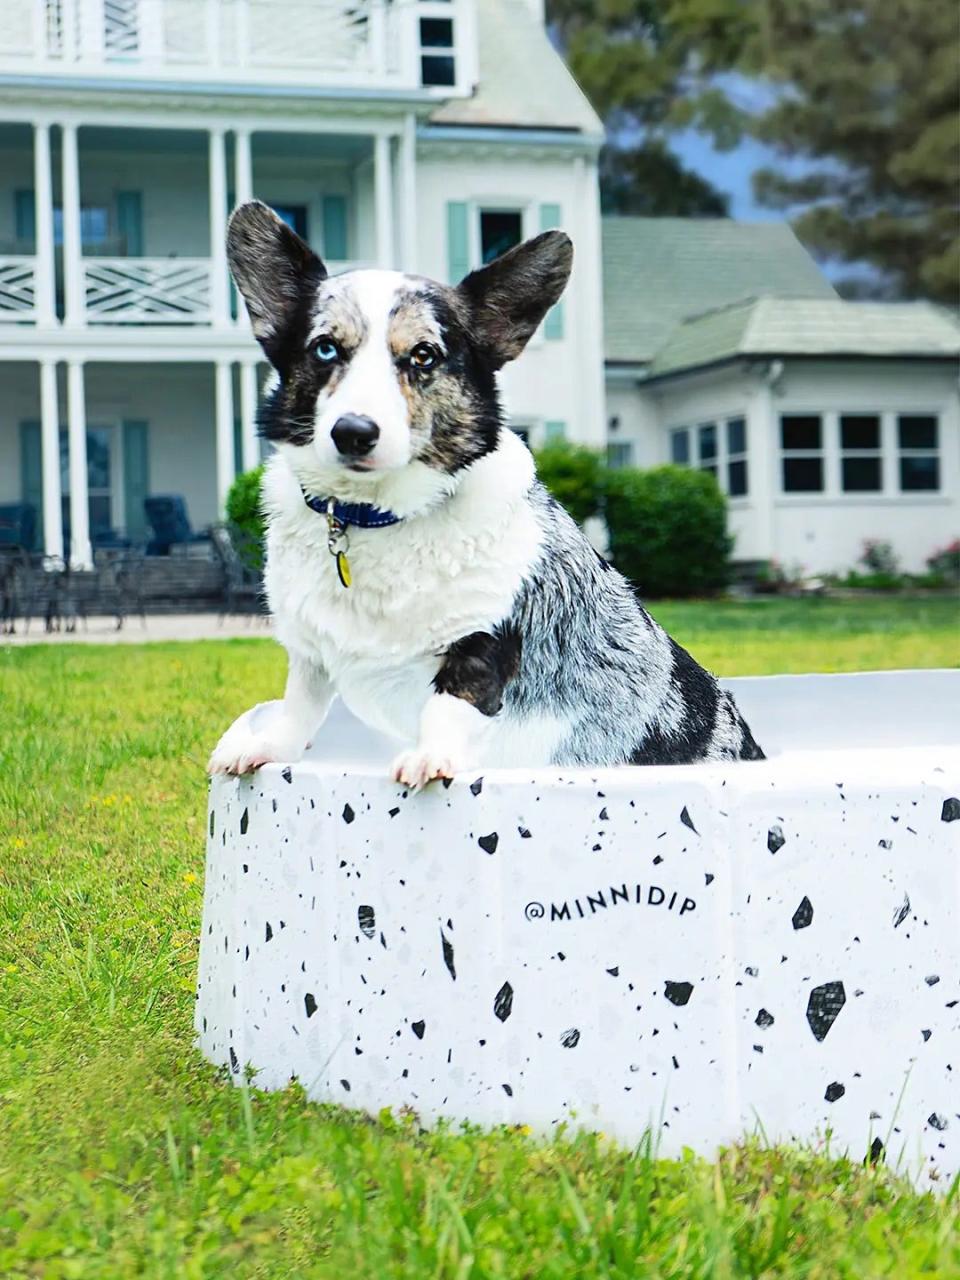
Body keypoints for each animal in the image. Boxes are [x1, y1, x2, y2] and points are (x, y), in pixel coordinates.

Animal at [207, 200, 762, 783]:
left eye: (424, 355)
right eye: (325, 348)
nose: (353, 432)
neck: (374, 515)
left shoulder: (484, 643)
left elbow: (448, 706)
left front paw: (430, 757)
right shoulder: (310, 653)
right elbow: (300, 706)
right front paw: (264, 747)